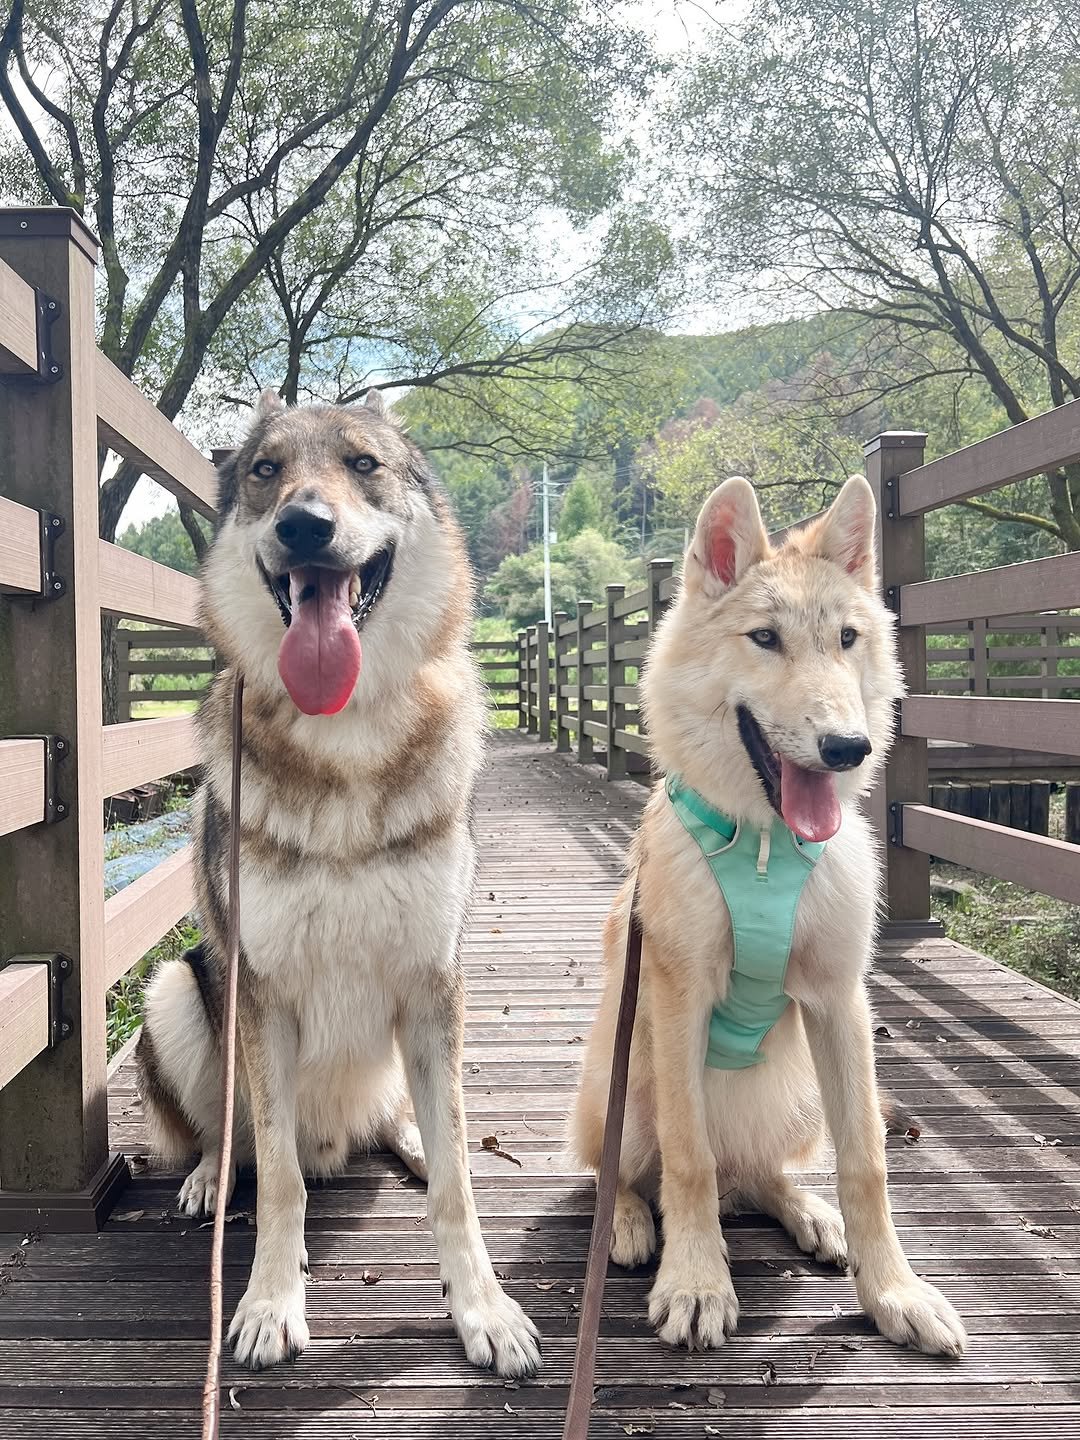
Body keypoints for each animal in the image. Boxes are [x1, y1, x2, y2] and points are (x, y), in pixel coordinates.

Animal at [136, 389, 540, 1377]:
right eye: (265, 472)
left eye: (362, 465)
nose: (304, 526)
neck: (345, 730)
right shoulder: (261, 993)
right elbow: (280, 1180)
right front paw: (269, 1303)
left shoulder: (434, 985)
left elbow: (460, 1189)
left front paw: (482, 1309)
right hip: (176, 989)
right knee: (231, 1136)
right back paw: (208, 1177)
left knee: (410, 1122)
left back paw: (417, 1141)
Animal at [571, 474, 966, 1357]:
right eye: (764, 639)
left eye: (848, 639)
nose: (849, 748)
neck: (763, 843)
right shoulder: (678, 1002)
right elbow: (686, 1160)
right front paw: (695, 1282)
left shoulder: (839, 1002)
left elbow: (867, 1162)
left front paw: (893, 1290)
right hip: (622, 1082)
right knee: (629, 1170)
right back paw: (628, 1224)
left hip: (797, 1095)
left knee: (756, 1175)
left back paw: (809, 1215)